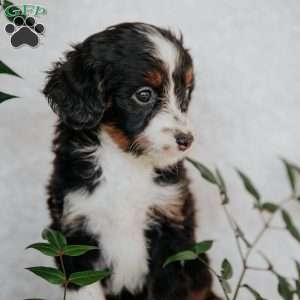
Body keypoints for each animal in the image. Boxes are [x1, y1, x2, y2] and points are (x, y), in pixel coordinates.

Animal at [43, 21, 219, 300]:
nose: (186, 140)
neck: (124, 160)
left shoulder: (172, 233)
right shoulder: (73, 233)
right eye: (144, 95)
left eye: (185, 93)